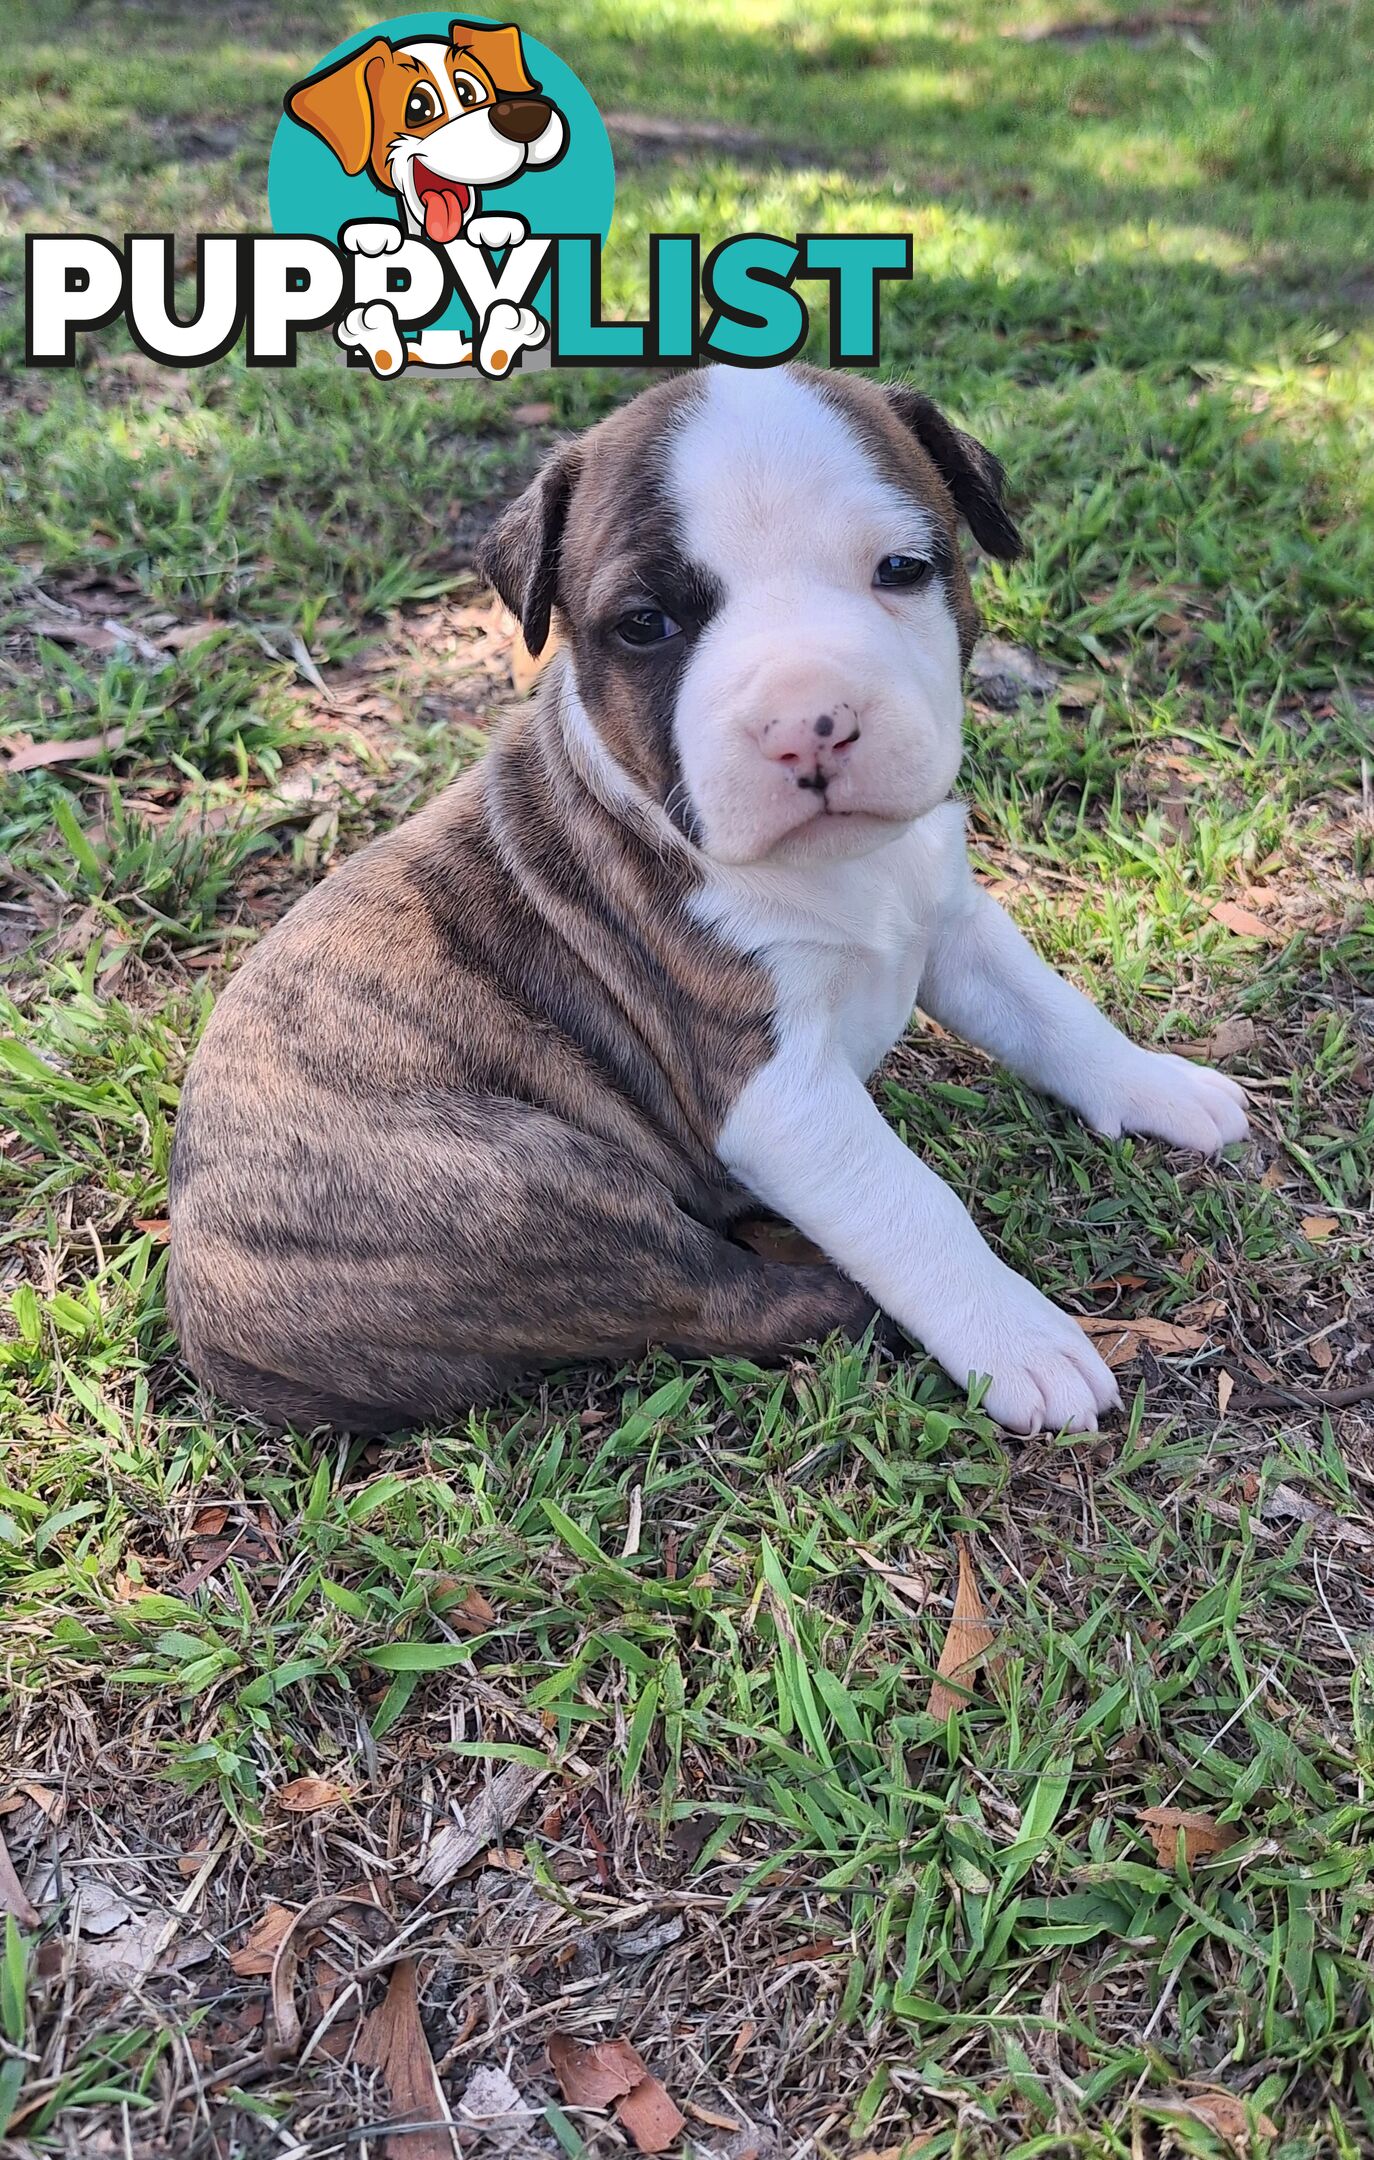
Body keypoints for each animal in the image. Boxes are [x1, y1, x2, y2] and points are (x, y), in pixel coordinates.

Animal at [166, 367, 1253, 1434]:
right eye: (646, 625)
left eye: (903, 569)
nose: (810, 720)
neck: (847, 871)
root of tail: (206, 1322)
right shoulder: (776, 1093)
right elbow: (909, 1203)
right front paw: (1016, 1339)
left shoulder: (954, 924)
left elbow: (1054, 1012)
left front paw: (1158, 1087)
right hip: (523, 1185)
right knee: (713, 1295)